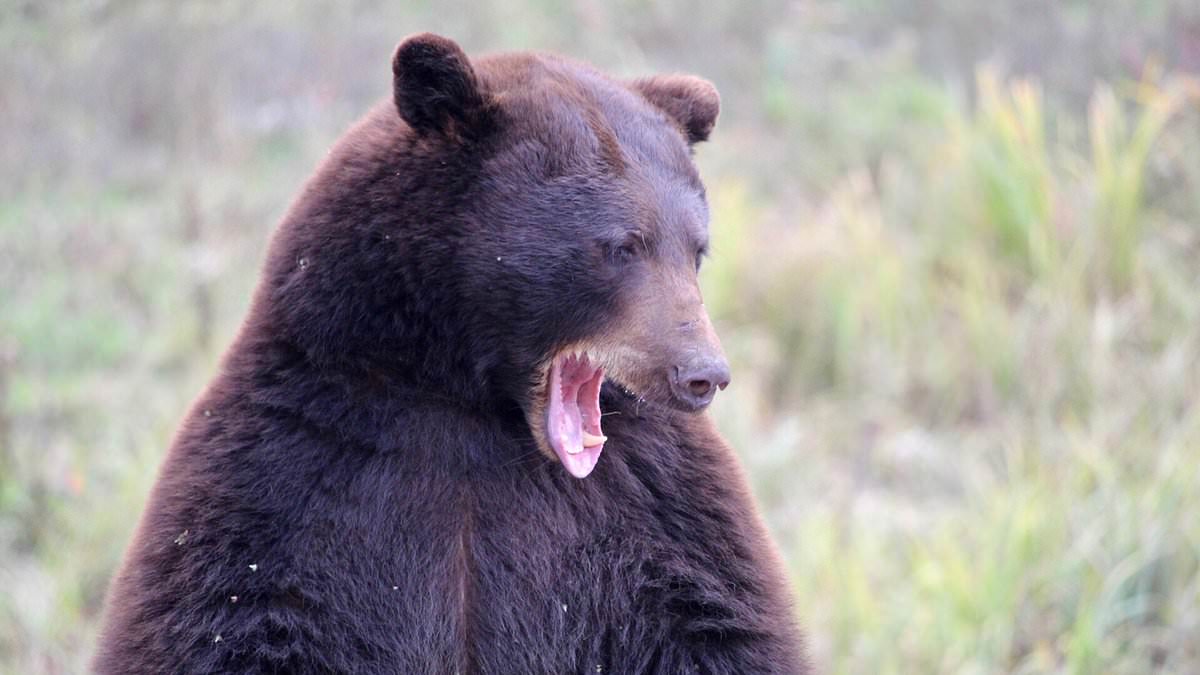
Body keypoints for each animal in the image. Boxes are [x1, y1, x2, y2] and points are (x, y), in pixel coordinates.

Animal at [92, 33, 806, 674]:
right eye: (621, 246)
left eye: (696, 248)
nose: (702, 374)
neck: (470, 405)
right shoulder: (289, 473)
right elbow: (225, 618)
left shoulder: (655, 501)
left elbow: (714, 622)